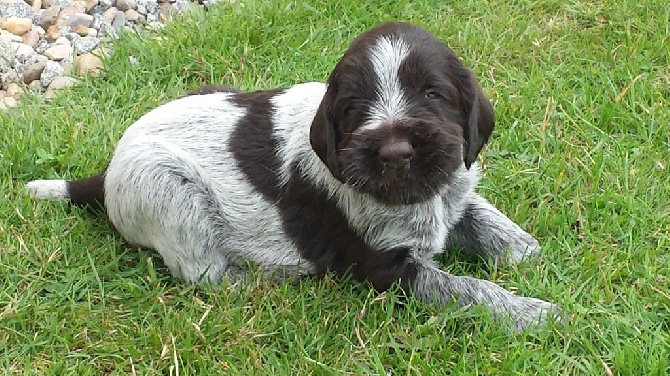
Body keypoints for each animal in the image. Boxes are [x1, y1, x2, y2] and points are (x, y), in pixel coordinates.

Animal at [26, 22, 560, 330]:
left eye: (432, 93)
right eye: (353, 108)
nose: (395, 151)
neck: (414, 197)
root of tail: (106, 172)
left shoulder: (452, 182)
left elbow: (485, 216)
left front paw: (526, 251)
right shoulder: (384, 268)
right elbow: (467, 291)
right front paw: (533, 312)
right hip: (166, 188)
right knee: (203, 274)